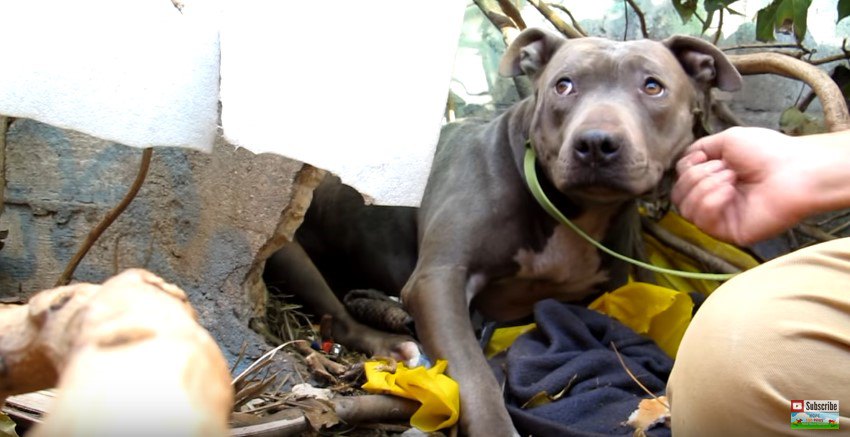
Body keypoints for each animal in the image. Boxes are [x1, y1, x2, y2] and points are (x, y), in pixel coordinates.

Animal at [264, 29, 736, 434]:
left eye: (653, 87)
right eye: (563, 86)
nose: (596, 142)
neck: (569, 211)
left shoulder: (606, 294)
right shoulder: (437, 282)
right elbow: (476, 377)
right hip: (287, 248)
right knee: (341, 320)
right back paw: (394, 343)